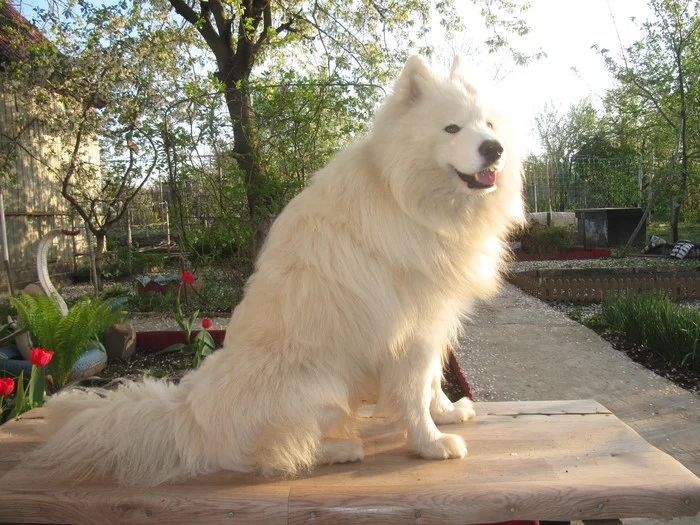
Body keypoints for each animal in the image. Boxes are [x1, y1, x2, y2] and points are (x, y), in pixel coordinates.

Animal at [32, 55, 524, 486]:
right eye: (451, 128)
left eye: (488, 125)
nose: (495, 149)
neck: (406, 196)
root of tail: (190, 420)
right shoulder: (411, 331)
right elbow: (413, 393)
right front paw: (430, 443)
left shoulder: (435, 321)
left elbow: (432, 383)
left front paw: (446, 413)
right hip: (324, 385)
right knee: (271, 454)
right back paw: (339, 449)